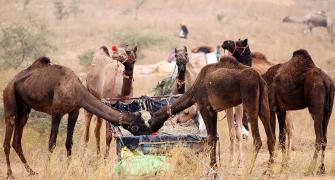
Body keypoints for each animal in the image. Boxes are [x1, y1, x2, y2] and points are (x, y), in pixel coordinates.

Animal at [2, 57, 150, 178]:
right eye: (139, 126)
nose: (148, 135)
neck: (76, 90)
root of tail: (9, 83)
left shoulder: (74, 111)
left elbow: (69, 142)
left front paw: (69, 169)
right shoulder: (56, 112)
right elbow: (52, 143)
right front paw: (47, 170)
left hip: (24, 109)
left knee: (16, 140)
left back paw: (31, 171)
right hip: (9, 100)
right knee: (7, 138)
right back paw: (10, 174)